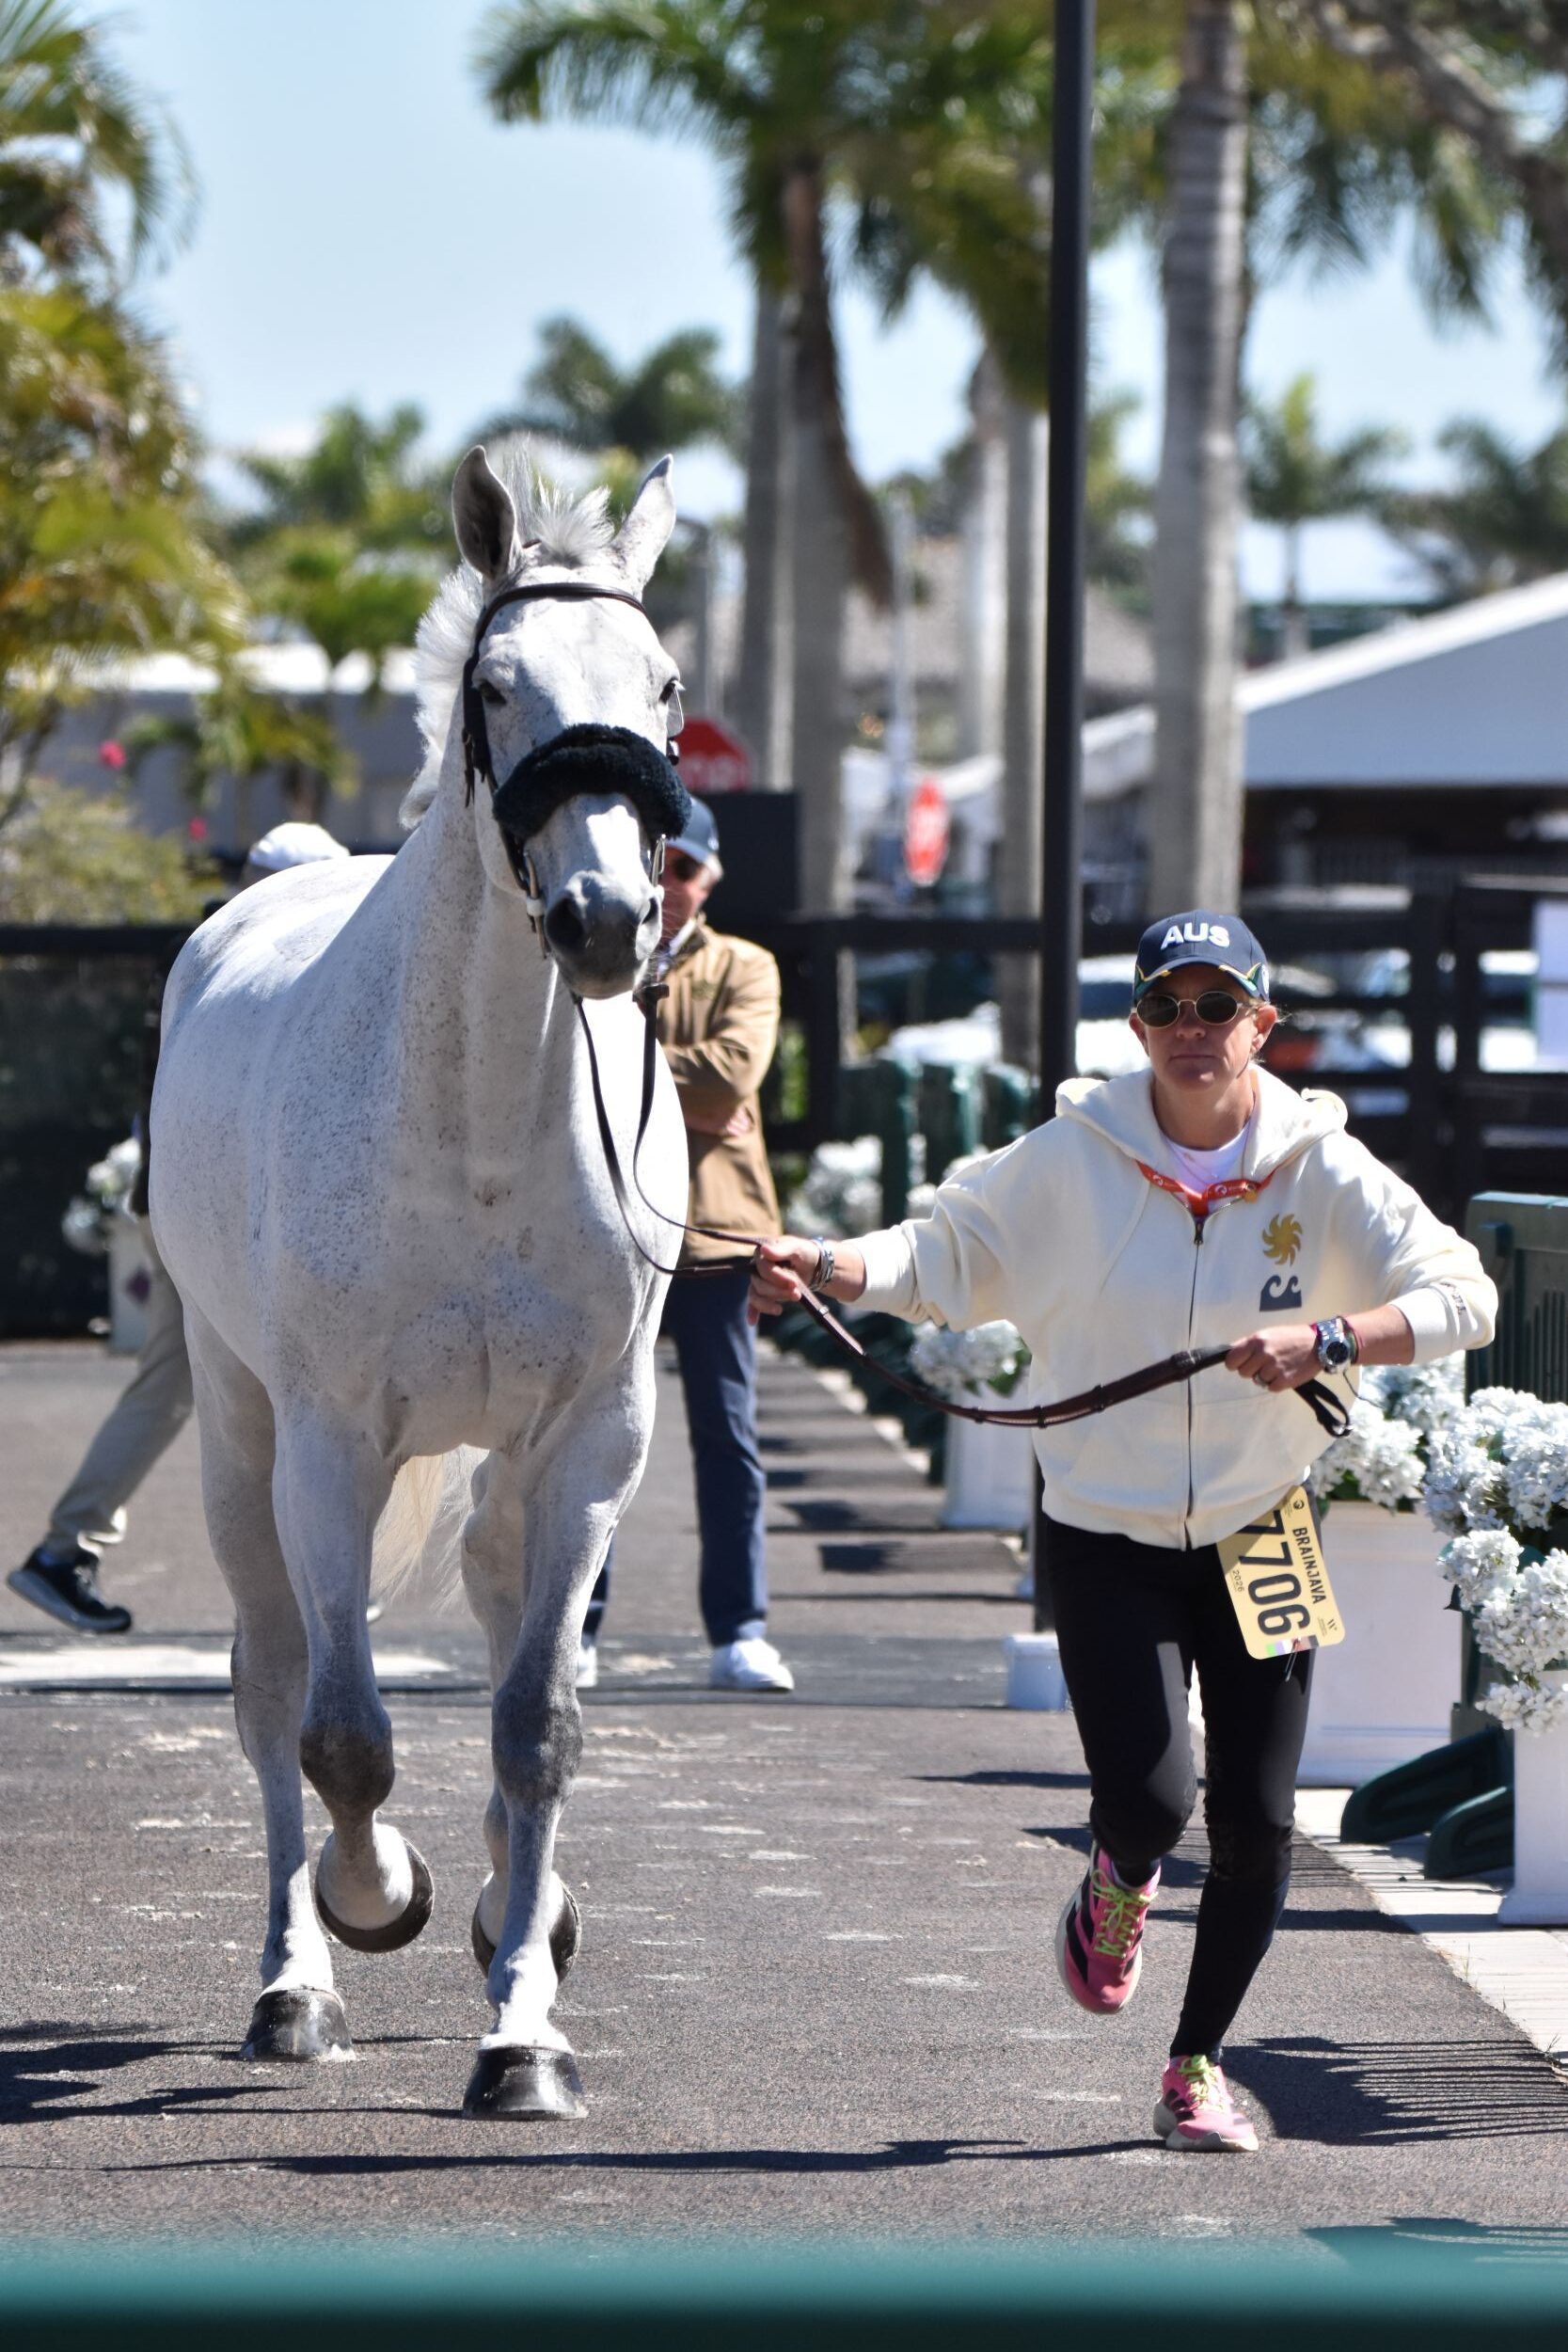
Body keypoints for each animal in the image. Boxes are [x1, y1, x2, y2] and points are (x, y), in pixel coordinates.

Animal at [150, 445, 690, 2119]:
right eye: (498, 687)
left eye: (663, 687)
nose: (604, 921)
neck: (478, 1129)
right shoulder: (331, 1444)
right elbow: (343, 1740)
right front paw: (370, 1898)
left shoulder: (587, 1443)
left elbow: (539, 1728)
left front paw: (523, 2031)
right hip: (238, 1433)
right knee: (271, 1689)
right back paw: (294, 1982)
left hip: (506, 1470)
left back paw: (520, 1906)